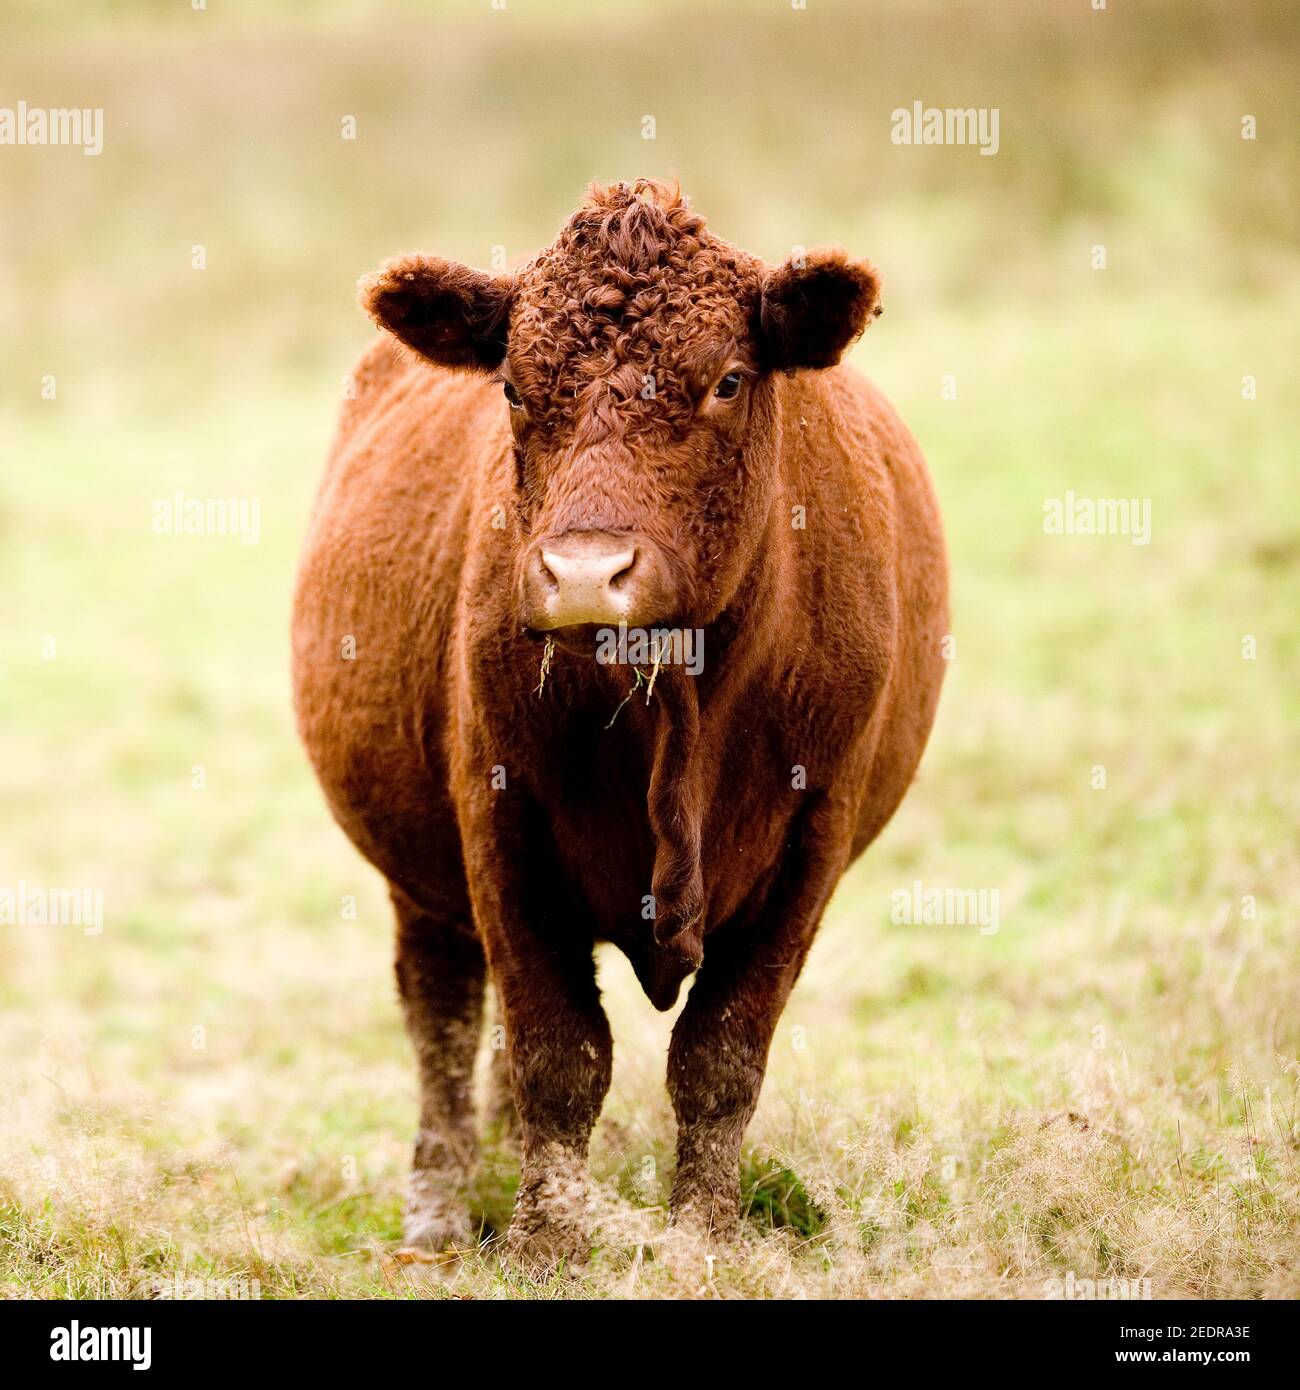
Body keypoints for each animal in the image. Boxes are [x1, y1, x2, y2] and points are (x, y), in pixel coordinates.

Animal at [291, 182, 945, 1273]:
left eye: (727, 380)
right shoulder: (499, 823)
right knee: (444, 1017)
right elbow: (559, 1051)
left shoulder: (815, 834)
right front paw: (548, 1236)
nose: (587, 573)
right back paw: (440, 1210)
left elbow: (720, 1054)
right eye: (514, 389)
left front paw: (703, 1232)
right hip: (421, 883)